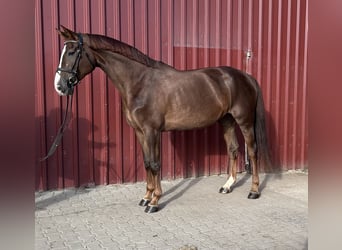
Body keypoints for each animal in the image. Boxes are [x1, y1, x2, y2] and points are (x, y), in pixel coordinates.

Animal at [54, 25, 270, 213]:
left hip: (244, 121)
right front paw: (146, 197)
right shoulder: (140, 132)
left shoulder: (152, 131)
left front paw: (155, 202)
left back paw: (254, 190)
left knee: (252, 152)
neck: (140, 83)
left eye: (72, 52)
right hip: (227, 120)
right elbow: (147, 162)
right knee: (233, 149)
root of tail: (246, 76)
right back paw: (227, 186)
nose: (60, 86)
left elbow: (155, 164)